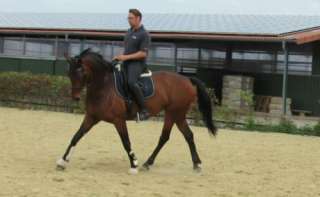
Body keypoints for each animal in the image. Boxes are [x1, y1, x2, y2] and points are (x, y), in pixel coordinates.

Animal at [57, 48, 218, 174]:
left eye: (81, 72)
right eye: (69, 73)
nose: (76, 97)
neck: (104, 86)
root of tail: (187, 79)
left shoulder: (118, 120)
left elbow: (126, 142)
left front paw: (133, 164)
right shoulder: (91, 117)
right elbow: (76, 136)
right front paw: (62, 161)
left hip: (174, 113)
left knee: (165, 137)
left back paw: (148, 163)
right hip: (178, 115)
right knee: (187, 135)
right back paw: (195, 164)